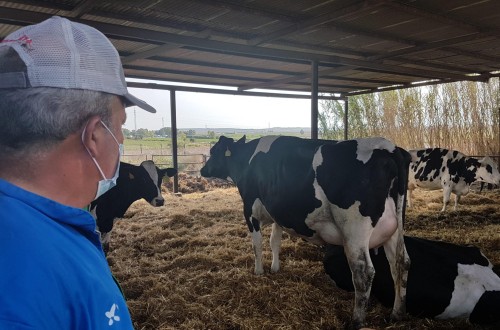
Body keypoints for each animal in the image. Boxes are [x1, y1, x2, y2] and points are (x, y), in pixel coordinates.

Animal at [201, 135, 412, 328]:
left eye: (213, 151)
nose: (202, 170)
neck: (247, 160)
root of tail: (389, 148)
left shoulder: (249, 210)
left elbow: (257, 245)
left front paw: (258, 271)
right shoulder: (279, 213)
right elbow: (274, 241)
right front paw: (275, 268)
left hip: (354, 231)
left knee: (363, 272)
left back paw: (356, 320)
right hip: (394, 229)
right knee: (401, 263)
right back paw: (397, 313)